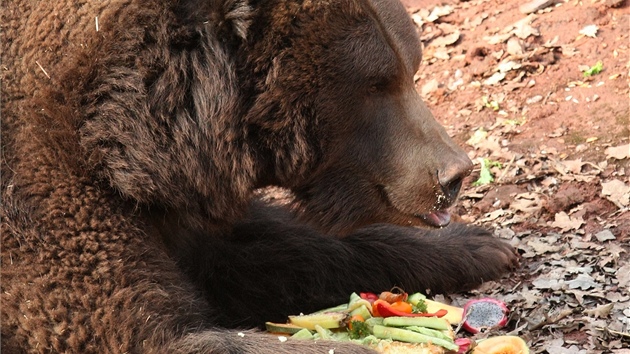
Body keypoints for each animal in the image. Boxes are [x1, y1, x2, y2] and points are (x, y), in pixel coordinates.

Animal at [0, 0, 520, 352]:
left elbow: (273, 250)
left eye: (410, 66)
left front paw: (478, 245)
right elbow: (146, 332)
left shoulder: (177, 213)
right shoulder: (42, 209)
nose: (455, 173)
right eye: (376, 83)